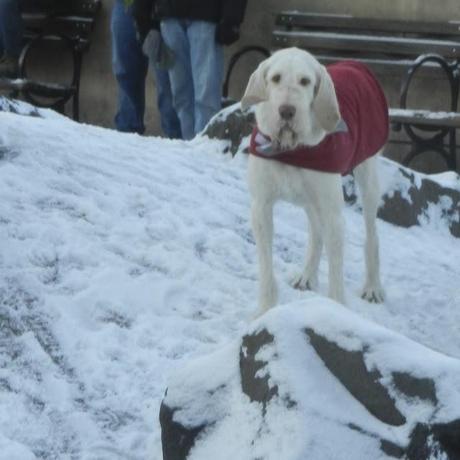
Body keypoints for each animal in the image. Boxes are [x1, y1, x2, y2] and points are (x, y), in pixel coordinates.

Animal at [241, 48, 388, 314]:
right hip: (310, 199)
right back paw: (307, 274)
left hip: (368, 176)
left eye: (305, 81)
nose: (287, 111)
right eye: (276, 78)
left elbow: (336, 274)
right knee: (316, 231)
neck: (292, 149)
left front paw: (337, 310)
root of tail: (356, 64)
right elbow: (266, 267)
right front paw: (265, 310)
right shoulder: (261, 206)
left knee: (371, 234)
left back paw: (373, 286)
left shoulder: (333, 215)